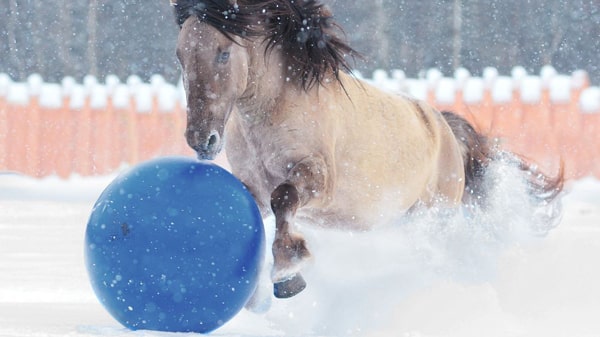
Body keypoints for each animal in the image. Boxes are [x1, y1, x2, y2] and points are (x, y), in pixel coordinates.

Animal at [171, 0, 564, 300]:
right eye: (180, 55)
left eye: (223, 53)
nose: (201, 139)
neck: (275, 109)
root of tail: (444, 126)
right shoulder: (253, 187)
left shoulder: (318, 180)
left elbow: (283, 198)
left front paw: (287, 272)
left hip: (436, 216)